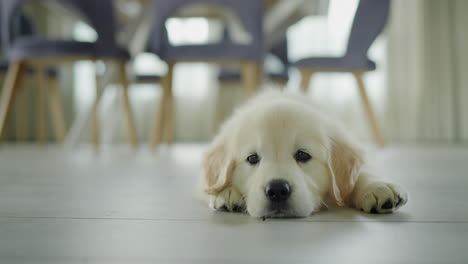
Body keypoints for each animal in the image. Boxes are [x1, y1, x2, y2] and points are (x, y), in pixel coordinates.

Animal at [199, 91, 408, 219]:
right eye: (252, 158)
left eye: (303, 155)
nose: (277, 190)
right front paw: (224, 192)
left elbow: (357, 176)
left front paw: (377, 187)